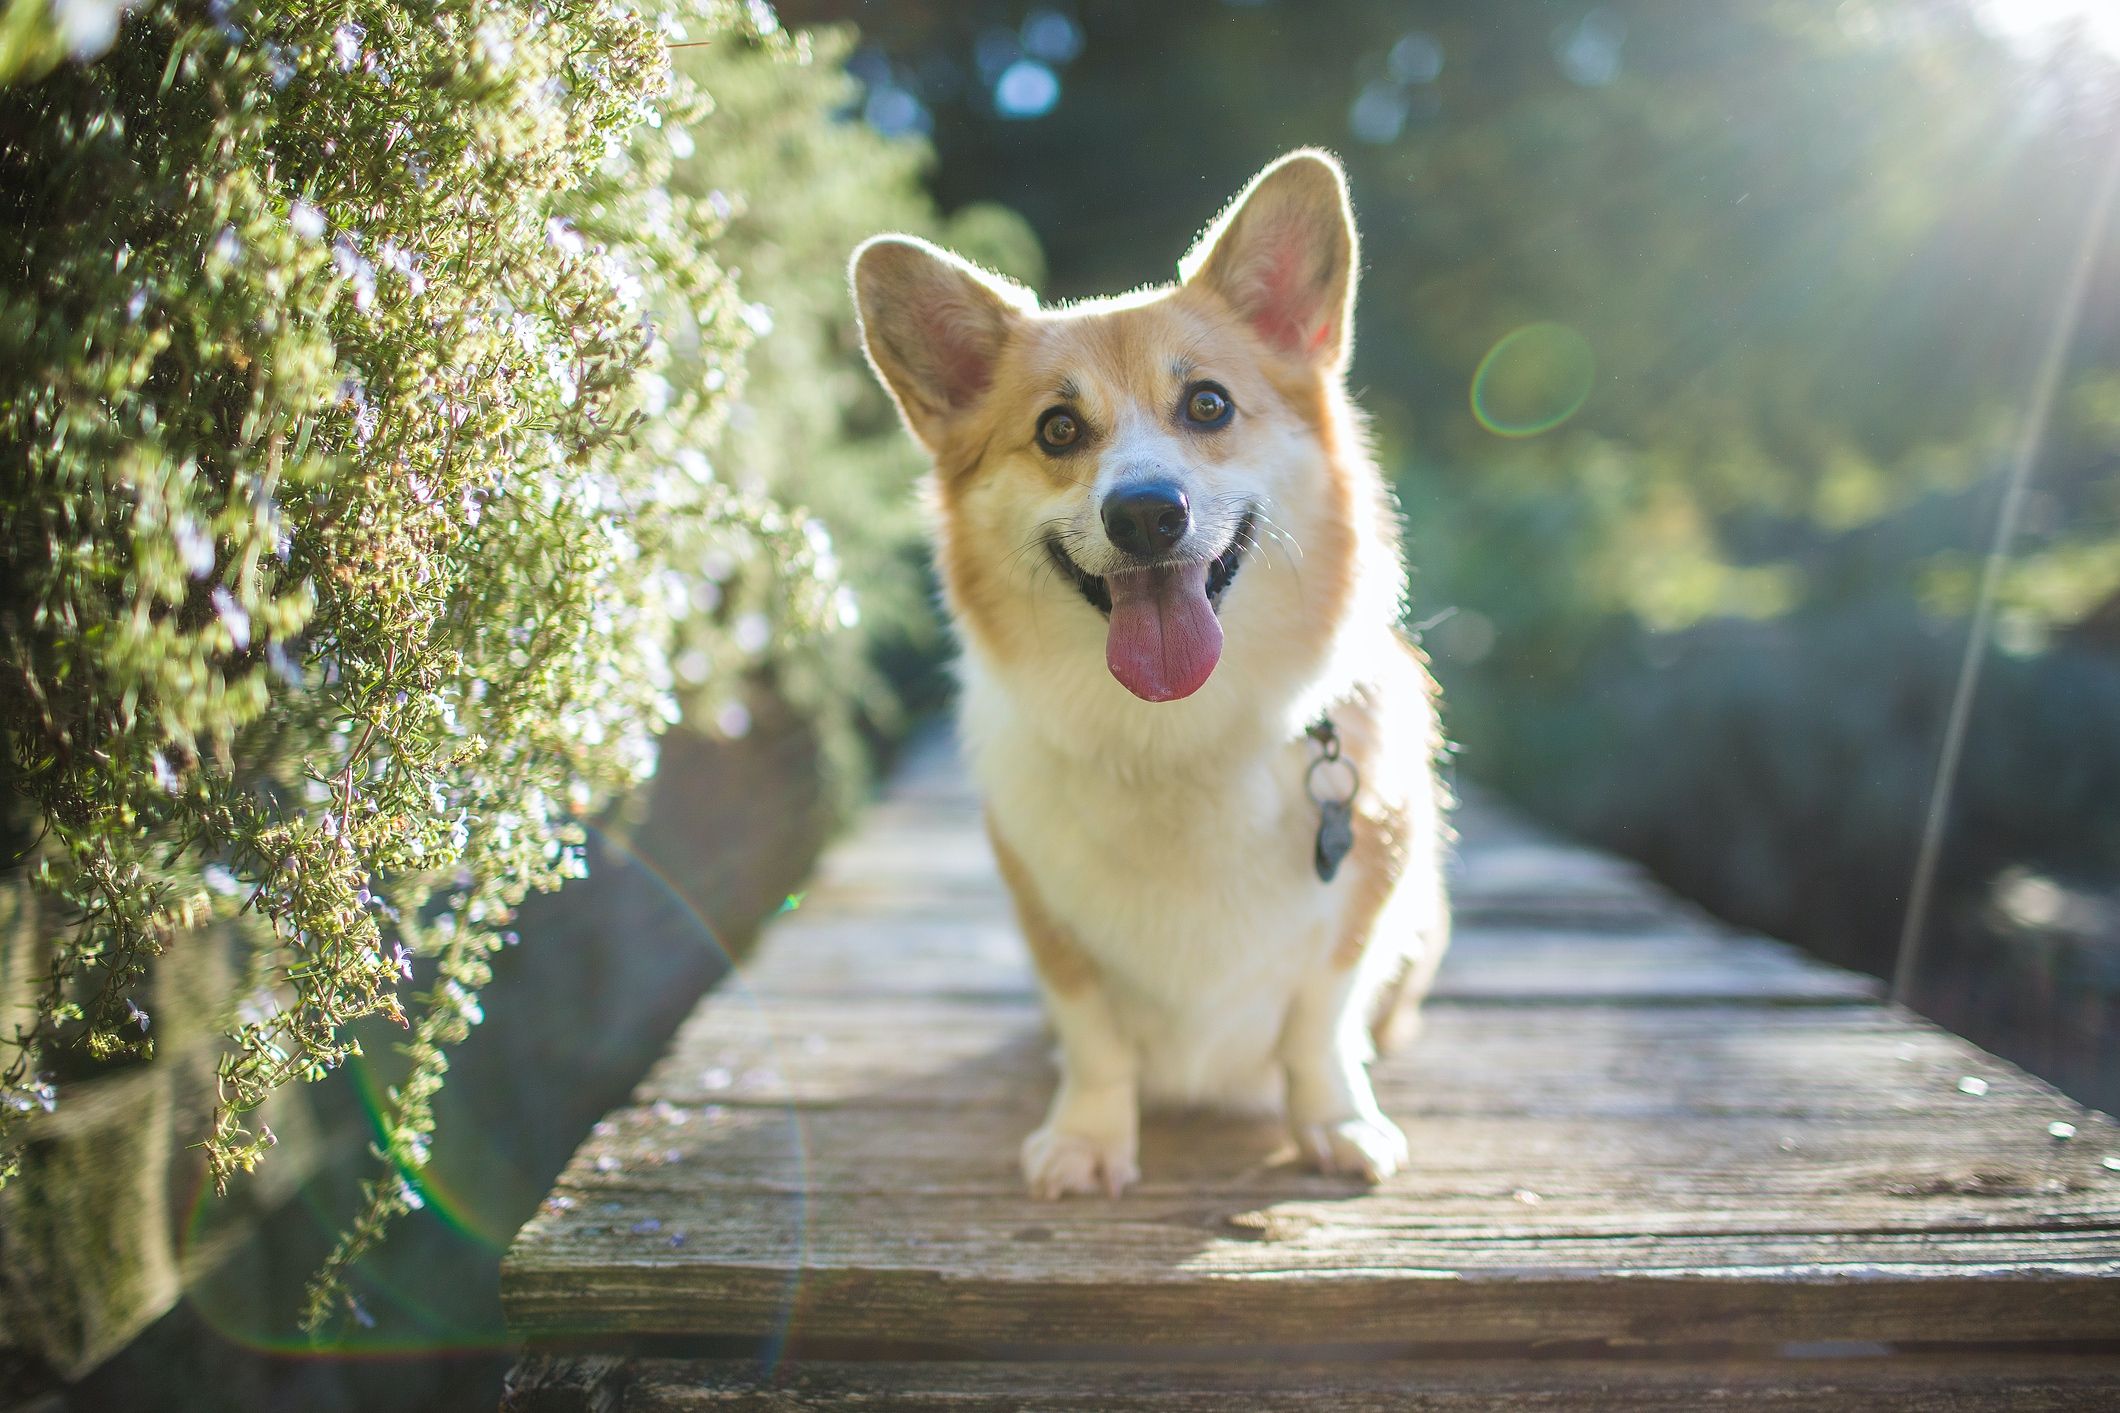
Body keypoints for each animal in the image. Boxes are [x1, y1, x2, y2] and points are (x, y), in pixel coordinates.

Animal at [852, 152, 1450, 1194]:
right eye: (1057, 429)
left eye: (1208, 404)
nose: (1144, 513)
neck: (1177, 730)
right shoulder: (1049, 922)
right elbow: (1094, 1036)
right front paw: (1088, 1140)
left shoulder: (1364, 897)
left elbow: (1320, 1023)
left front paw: (1337, 1121)